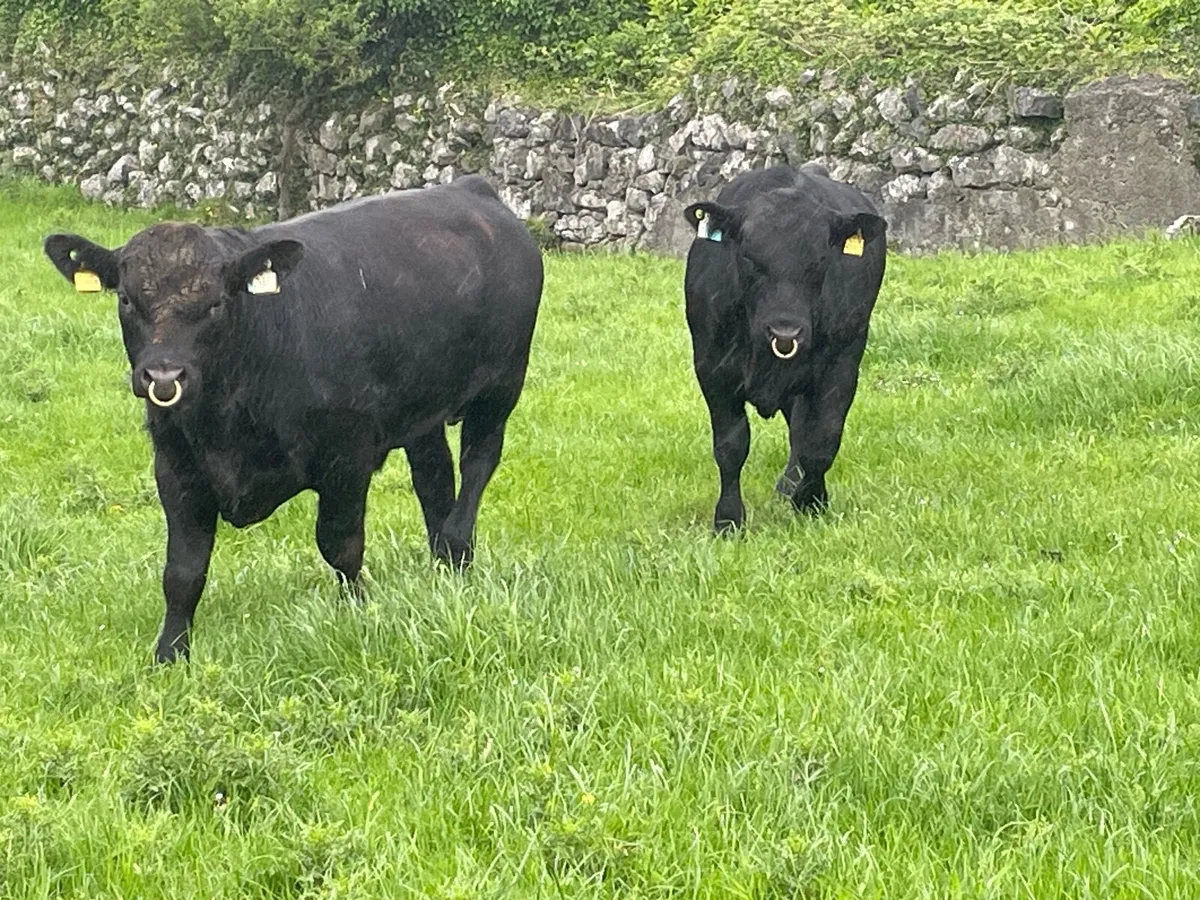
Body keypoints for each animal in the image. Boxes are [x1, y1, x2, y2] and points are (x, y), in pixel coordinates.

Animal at [44, 175, 543, 663]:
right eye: (127, 301)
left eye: (216, 304)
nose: (164, 376)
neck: (224, 421)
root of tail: (469, 188)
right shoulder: (176, 468)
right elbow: (182, 572)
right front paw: (170, 654)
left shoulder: (347, 456)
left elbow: (340, 544)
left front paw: (356, 611)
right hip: (422, 413)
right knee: (434, 479)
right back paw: (445, 567)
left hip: (500, 388)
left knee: (477, 463)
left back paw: (457, 550)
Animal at [681, 164, 887, 532]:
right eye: (749, 256)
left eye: (820, 260)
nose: (785, 330)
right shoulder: (712, 368)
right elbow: (731, 446)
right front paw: (728, 520)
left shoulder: (842, 366)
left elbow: (821, 441)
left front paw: (810, 501)